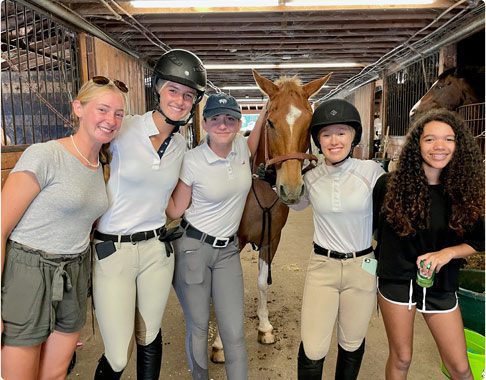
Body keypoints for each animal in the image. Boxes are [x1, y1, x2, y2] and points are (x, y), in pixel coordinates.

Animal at [210, 68, 330, 362]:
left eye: (309, 123)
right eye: (271, 123)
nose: (291, 188)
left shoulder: (271, 239)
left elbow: (263, 283)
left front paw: (264, 327)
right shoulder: (232, 243)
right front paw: (219, 343)